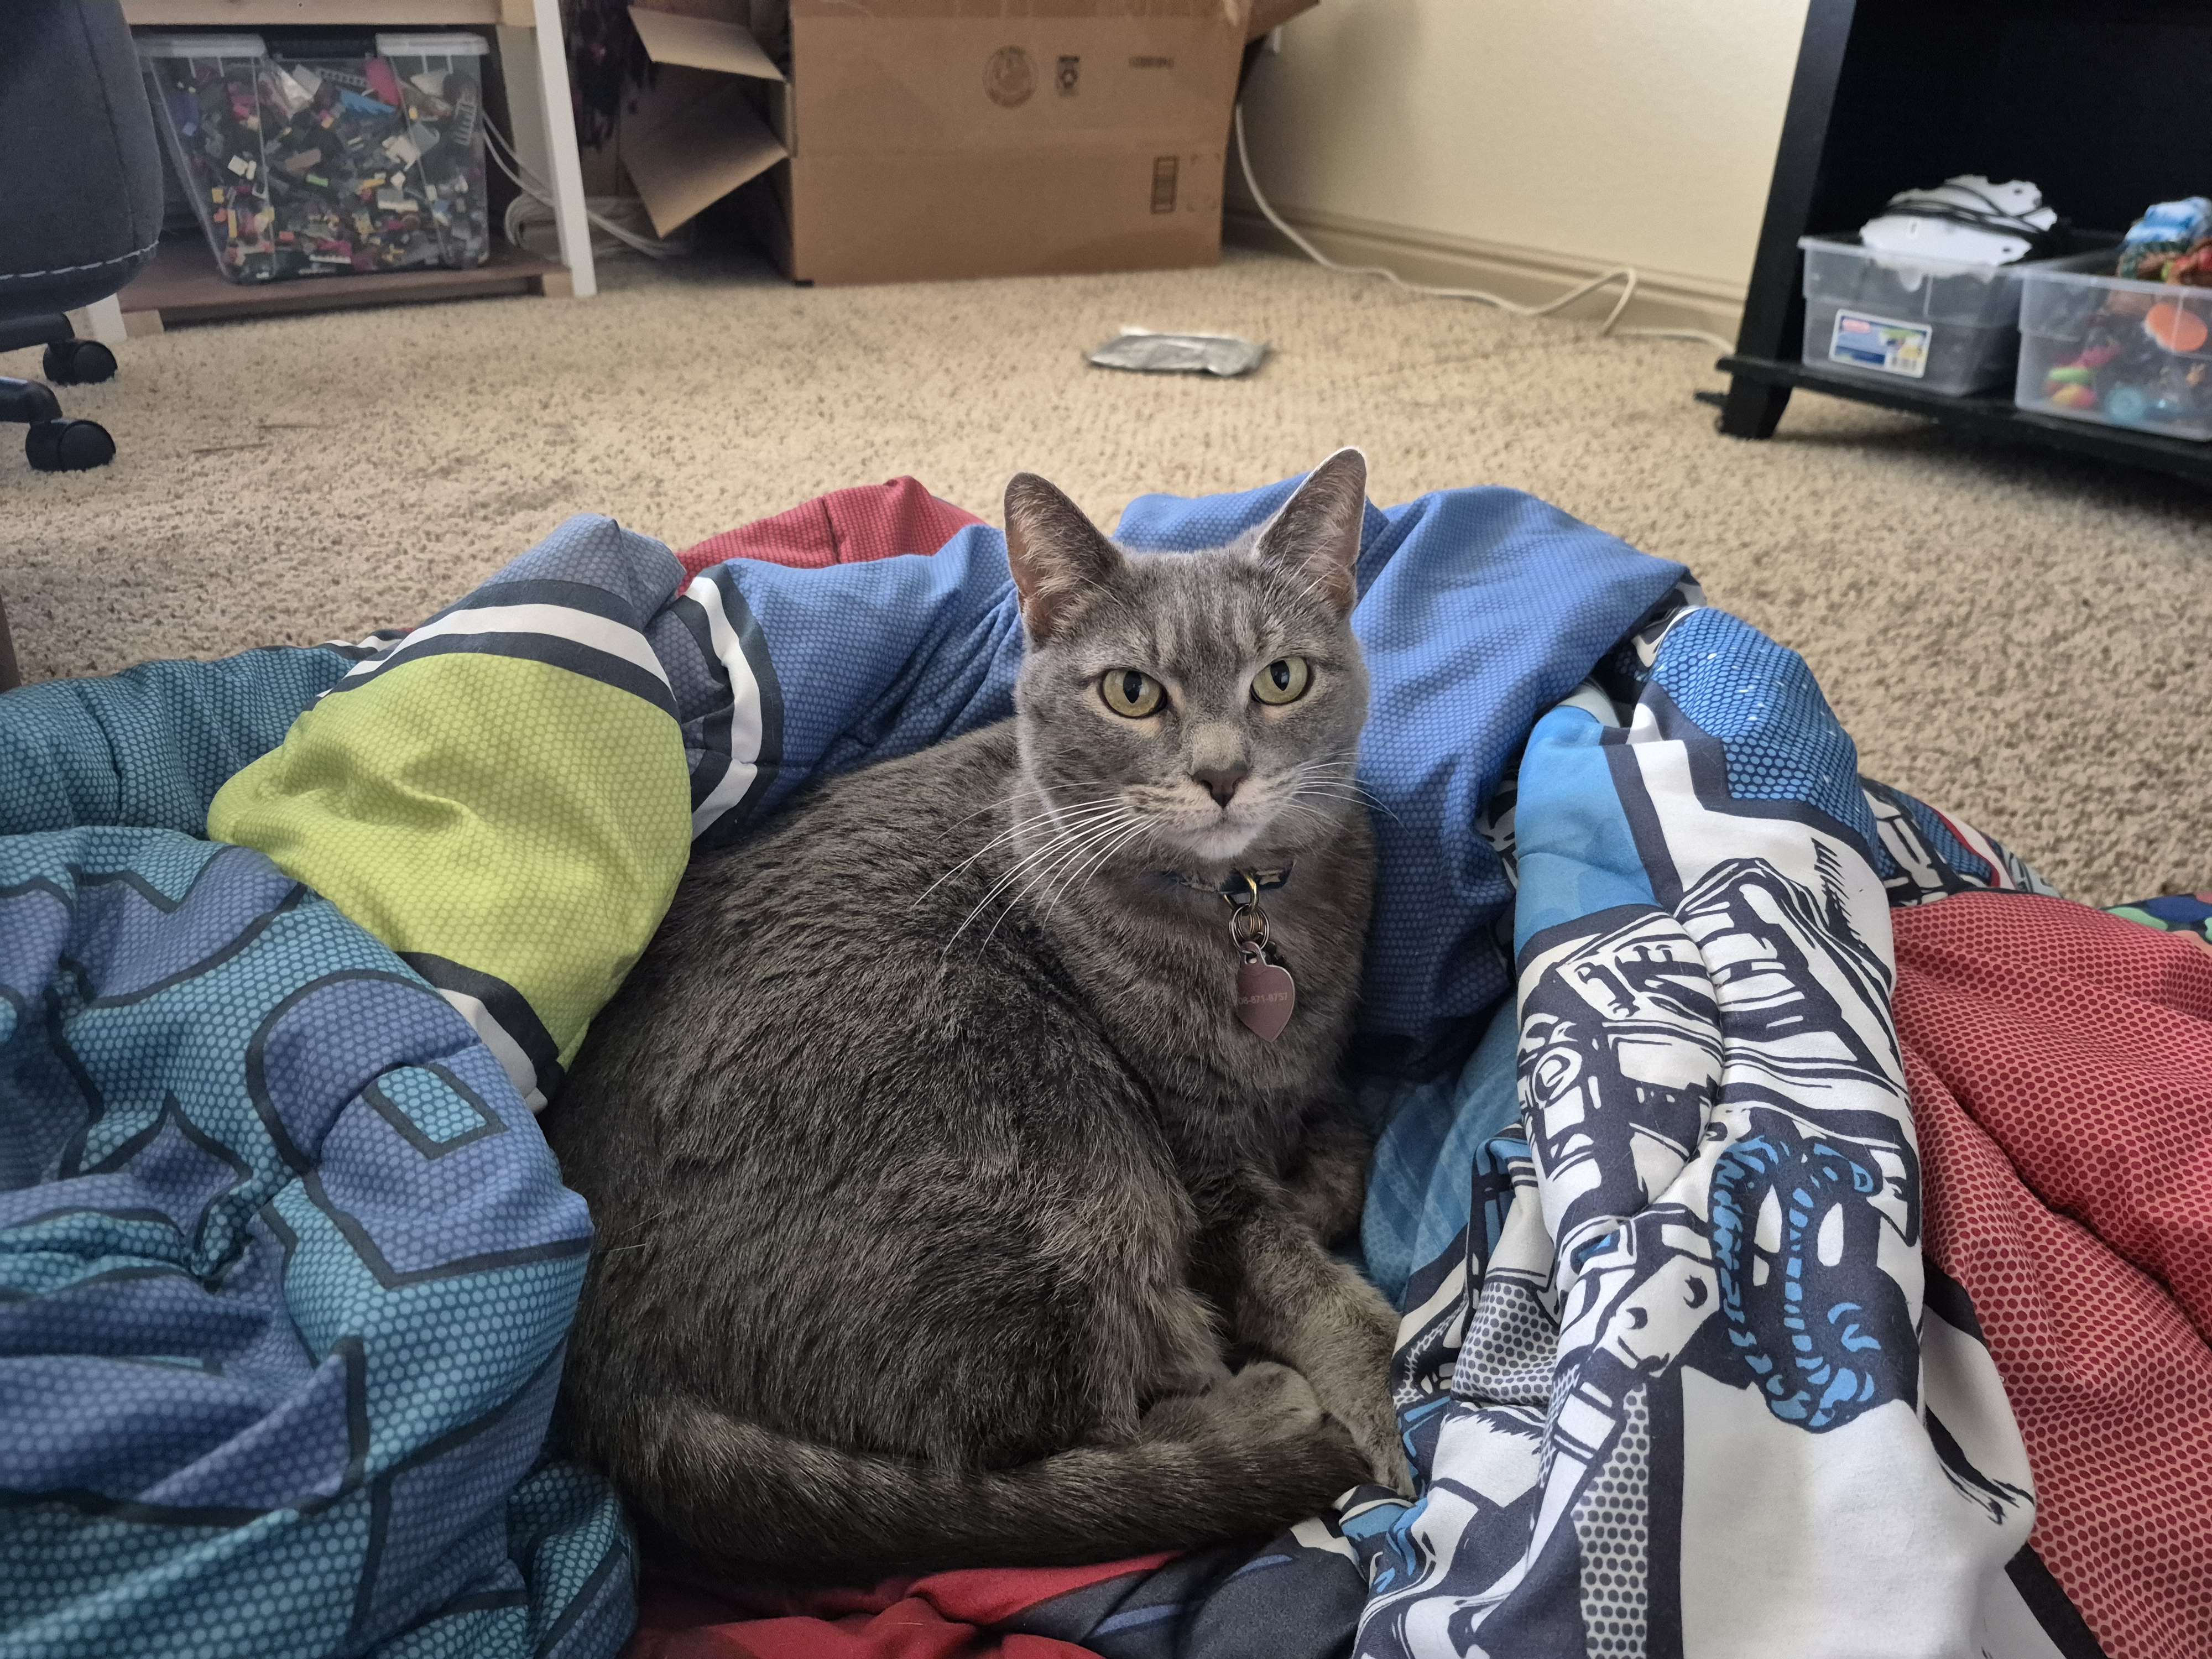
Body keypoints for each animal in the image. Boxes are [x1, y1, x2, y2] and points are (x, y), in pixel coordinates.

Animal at [540, 449, 1406, 1586]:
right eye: (1133, 693)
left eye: (1282, 679)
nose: (1222, 773)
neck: (1246, 918)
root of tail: (608, 1381)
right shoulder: (1198, 1161)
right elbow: (1297, 1274)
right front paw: (1378, 1397)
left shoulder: (1303, 1084)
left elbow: (1340, 1140)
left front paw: (1329, 1162)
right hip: (1067, 1161)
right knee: (1059, 1430)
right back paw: (1258, 1417)